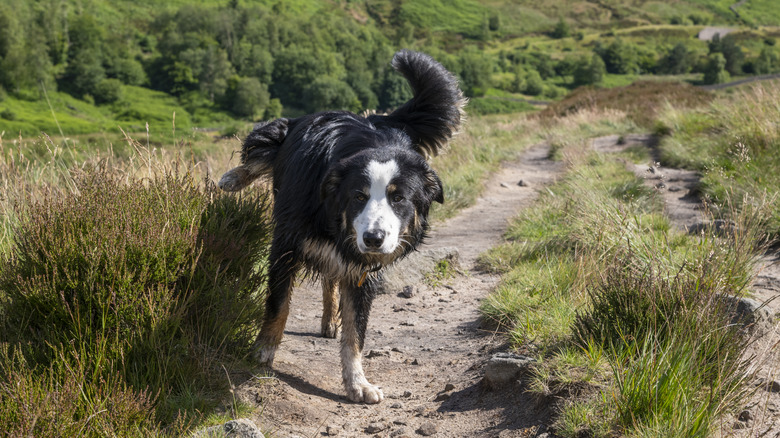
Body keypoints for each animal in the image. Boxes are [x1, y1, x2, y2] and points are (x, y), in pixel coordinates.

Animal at [216, 50, 466, 404]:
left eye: (399, 198)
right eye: (358, 196)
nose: (373, 238)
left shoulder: (362, 271)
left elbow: (355, 332)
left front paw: (357, 382)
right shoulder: (286, 245)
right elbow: (279, 304)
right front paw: (262, 351)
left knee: (331, 278)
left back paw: (329, 319)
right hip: (279, 132)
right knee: (260, 151)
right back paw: (232, 178)